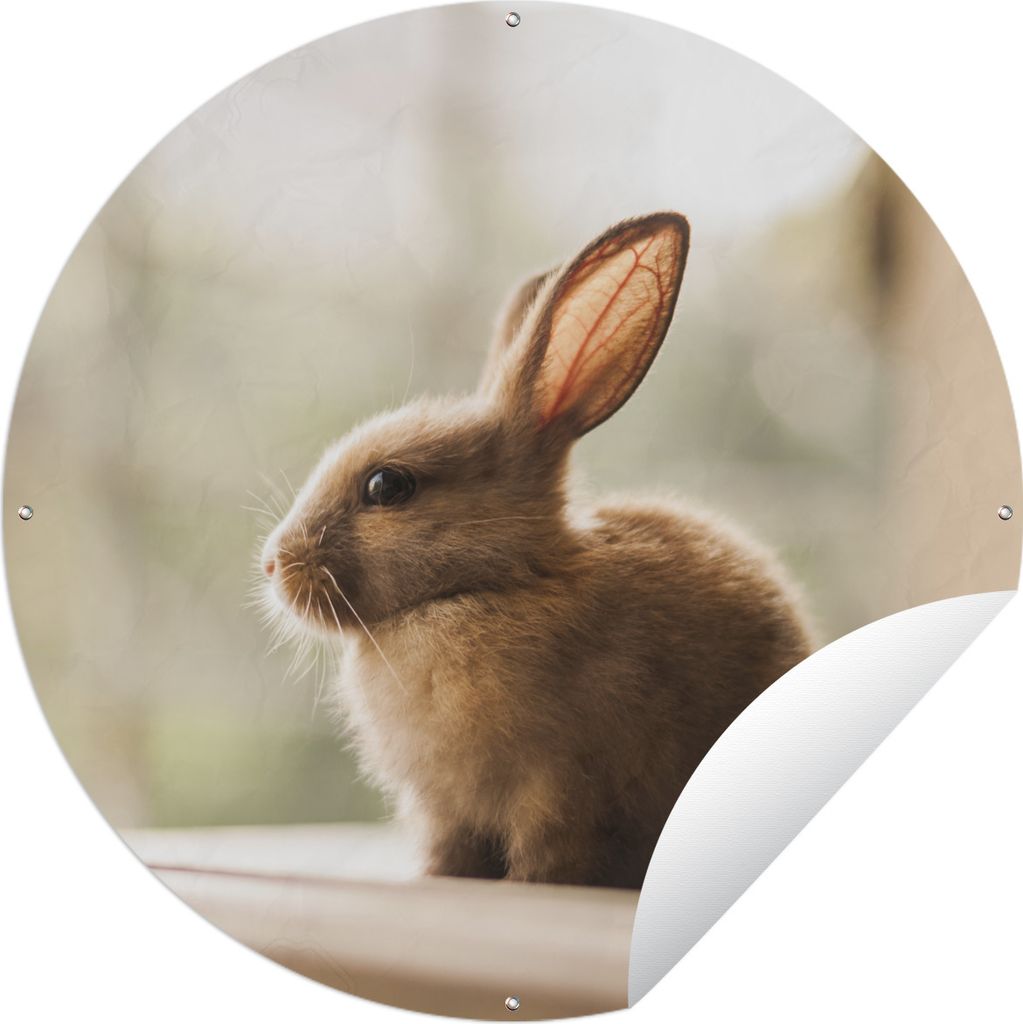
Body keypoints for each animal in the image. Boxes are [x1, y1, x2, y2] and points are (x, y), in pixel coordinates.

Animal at [259, 212, 812, 889]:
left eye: (387, 486)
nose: (273, 564)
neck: (488, 583)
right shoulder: (447, 810)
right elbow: (450, 853)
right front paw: (438, 882)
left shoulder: (560, 787)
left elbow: (546, 856)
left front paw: (525, 888)